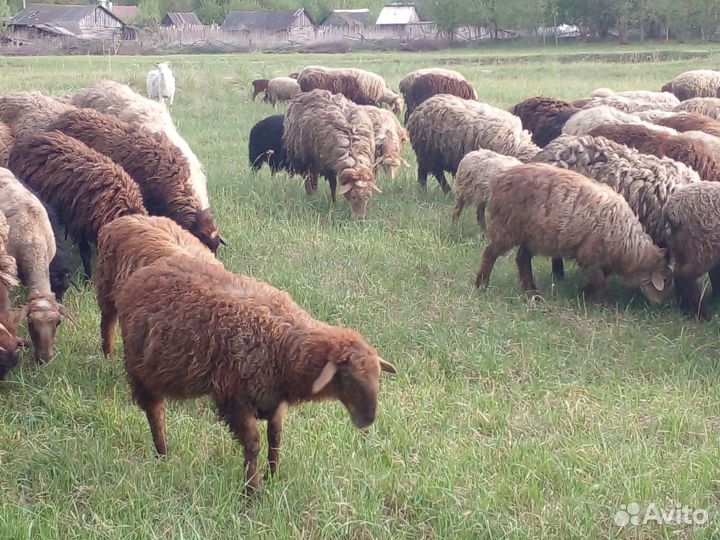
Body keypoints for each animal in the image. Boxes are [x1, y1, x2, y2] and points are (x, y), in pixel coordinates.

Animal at [116, 254, 396, 493]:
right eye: (347, 377)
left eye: (377, 377)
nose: (368, 420)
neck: (283, 344)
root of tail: (145, 272)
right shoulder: (235, 399)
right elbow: (253, 444)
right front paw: (251, 491)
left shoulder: (274, 400)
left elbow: (275, 438)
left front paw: (272, 477)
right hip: (142, 371)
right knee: (155, 412)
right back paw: (162, 453)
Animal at [283, 90, 379, 220]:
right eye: (354, 196)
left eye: (368, 197)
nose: (359, 219)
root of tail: (308, 93)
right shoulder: (329, 165)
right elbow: (333, 186)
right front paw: (334, 204)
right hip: (303, 157)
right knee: (307, 178)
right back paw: (311, 196)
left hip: (315, 161)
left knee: (313, 178)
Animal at [475, 163, 672, 305]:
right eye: (663, 280)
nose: (659, 304)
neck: (626, 243)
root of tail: (497, 181)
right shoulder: (589, 254)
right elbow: (601, 281)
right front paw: (601, 303)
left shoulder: (599, 258)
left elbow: (601, 278)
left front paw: (583, 292)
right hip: (507, 226)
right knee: (490, 253)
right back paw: (482, 284)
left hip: (531, 234)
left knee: (522, 259)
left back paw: (532, 292)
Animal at [663, 182, 720, 319]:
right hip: (702, 249)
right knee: (687, 275)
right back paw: (702, 314)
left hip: (681, 248)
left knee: (678, 273)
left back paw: (684, 308)